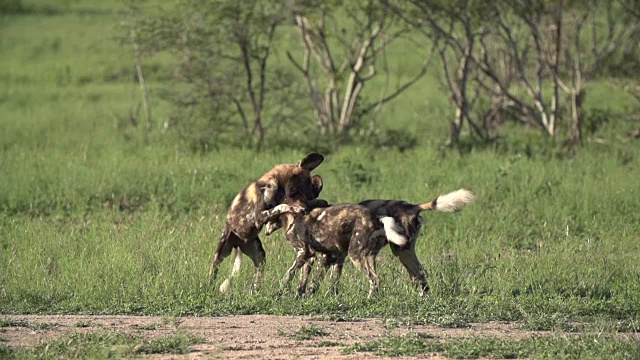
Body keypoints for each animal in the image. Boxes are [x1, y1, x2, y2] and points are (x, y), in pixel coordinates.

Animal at [209, 153, 322, 294]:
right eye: (307, 181)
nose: (313, 195)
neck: (278, 185)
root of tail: (238, 243)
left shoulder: (268, 223)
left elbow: (279, 209)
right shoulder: (259, 217)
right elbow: (282, 206)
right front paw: (298, 208)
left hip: (259, 256)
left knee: (258, 273)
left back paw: (255, 291)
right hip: (220, 252)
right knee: (214, 269)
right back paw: (209, 287)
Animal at [262, 187, 476, 296]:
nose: (264, 230)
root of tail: (412, 206)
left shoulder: (308, 254)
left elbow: (290, 275)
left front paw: (282, 292)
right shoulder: (328, 258)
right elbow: (317, 281)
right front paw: (311, 296)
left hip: (358, 255)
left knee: (375, 280)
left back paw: (369, 299)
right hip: (397, 252)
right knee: (419, 276)